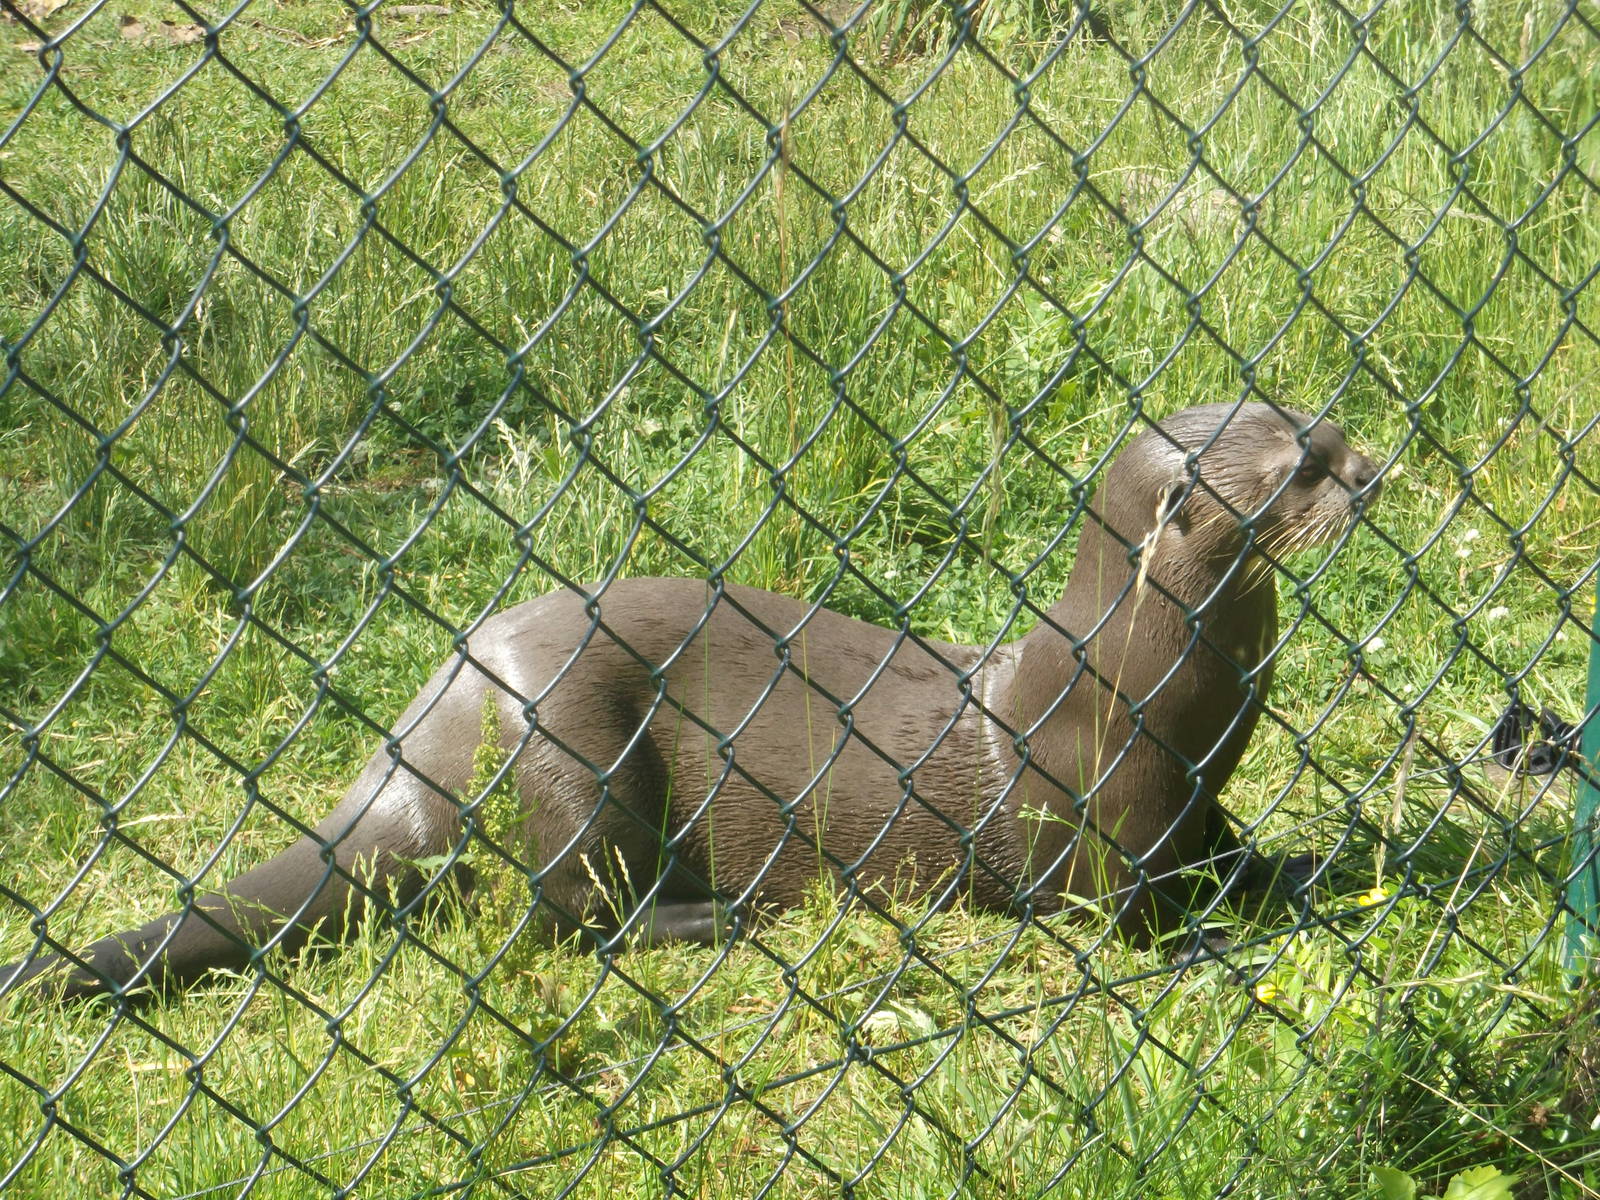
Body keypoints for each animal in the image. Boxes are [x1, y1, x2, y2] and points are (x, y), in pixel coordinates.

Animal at [3, 402, 1380, 1001]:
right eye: (1299, 469)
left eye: (1327, 424)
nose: (1372, 467)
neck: (1157, 681)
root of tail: (441, 702)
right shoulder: (1097, 807)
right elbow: (1115, 917)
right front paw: (1213, 938)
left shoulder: (1196, 795)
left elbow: (1234, 850)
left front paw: (1297, 869)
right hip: (572, 747)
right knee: (568, 917)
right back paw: (716, 918)